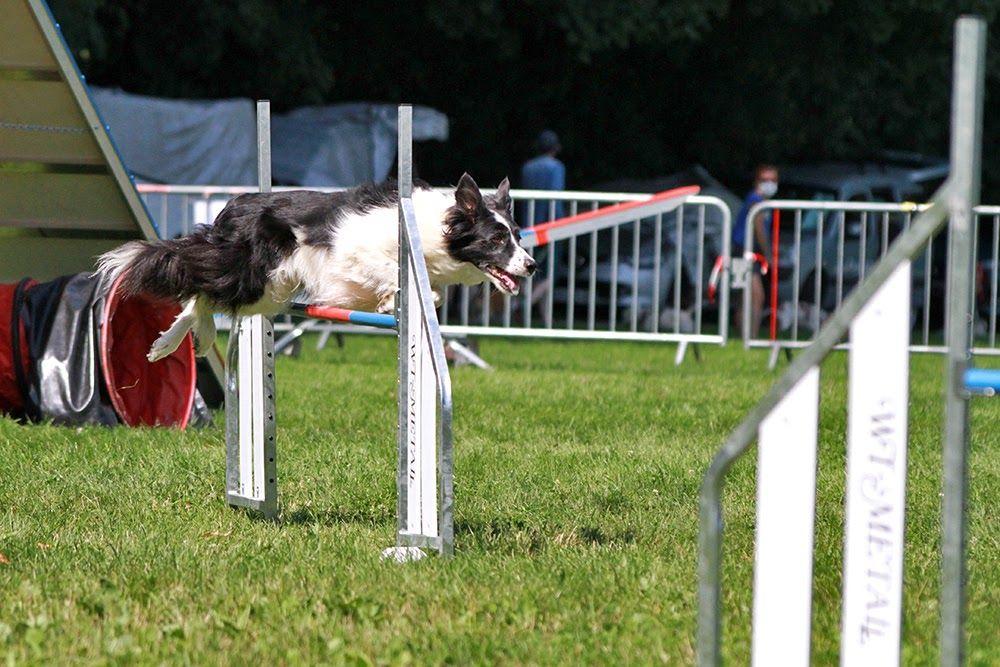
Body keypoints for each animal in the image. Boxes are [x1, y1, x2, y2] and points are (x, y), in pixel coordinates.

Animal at [99, 172, 540, 360]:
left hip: (273, 291)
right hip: (257, 274)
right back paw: (175, 341)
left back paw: (183, 340)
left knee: (205, 294)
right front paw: (390, 299)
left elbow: (430, 292)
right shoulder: (357, 251)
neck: (438, 227)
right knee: (201, 284)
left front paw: (387, 301)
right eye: (497, 239)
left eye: (518, 235)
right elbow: (419, 287)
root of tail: (235, 204)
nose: (532, 265)